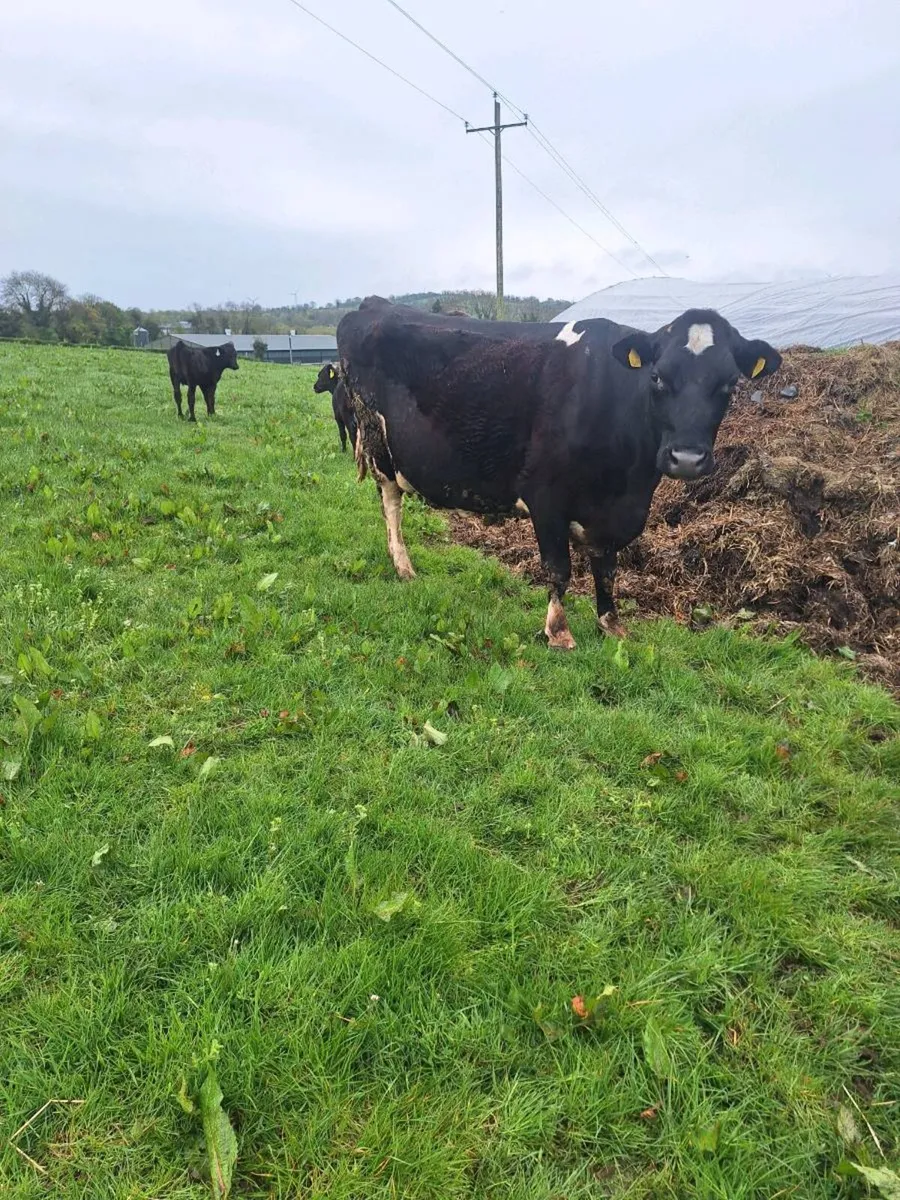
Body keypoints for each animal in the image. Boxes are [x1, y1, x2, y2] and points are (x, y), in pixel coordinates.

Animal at [337, 297, 782, 649]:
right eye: (656, 377)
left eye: (729, 384)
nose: (687, 458)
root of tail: (373, 305)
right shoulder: (545, 496)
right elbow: (559, 569)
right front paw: (558, 631)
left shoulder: (612, 511)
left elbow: (607, 570)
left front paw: (611, 624)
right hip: (378, 443)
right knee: (391, 504)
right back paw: (403, 567)